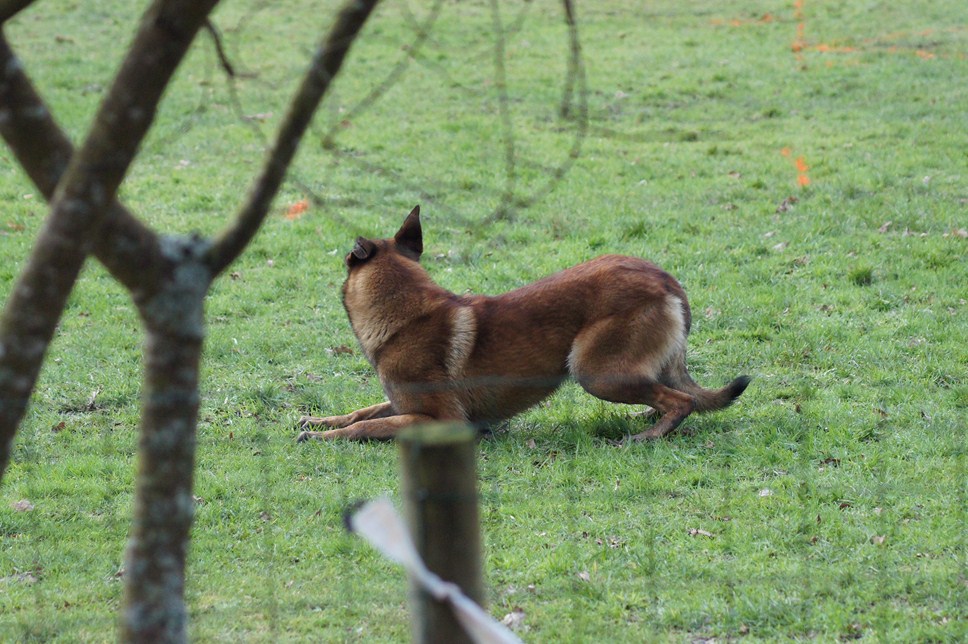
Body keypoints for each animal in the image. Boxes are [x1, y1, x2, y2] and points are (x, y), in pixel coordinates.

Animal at [298, 209, 752, 440]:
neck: (406, 316)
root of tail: (664, 278)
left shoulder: (442, 422)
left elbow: (371, 425)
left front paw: (323, 438)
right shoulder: (405, 404)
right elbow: (362, 411)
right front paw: (320, 422)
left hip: (595, 372)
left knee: (682, 401)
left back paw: (649, 435)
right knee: (675, 394)